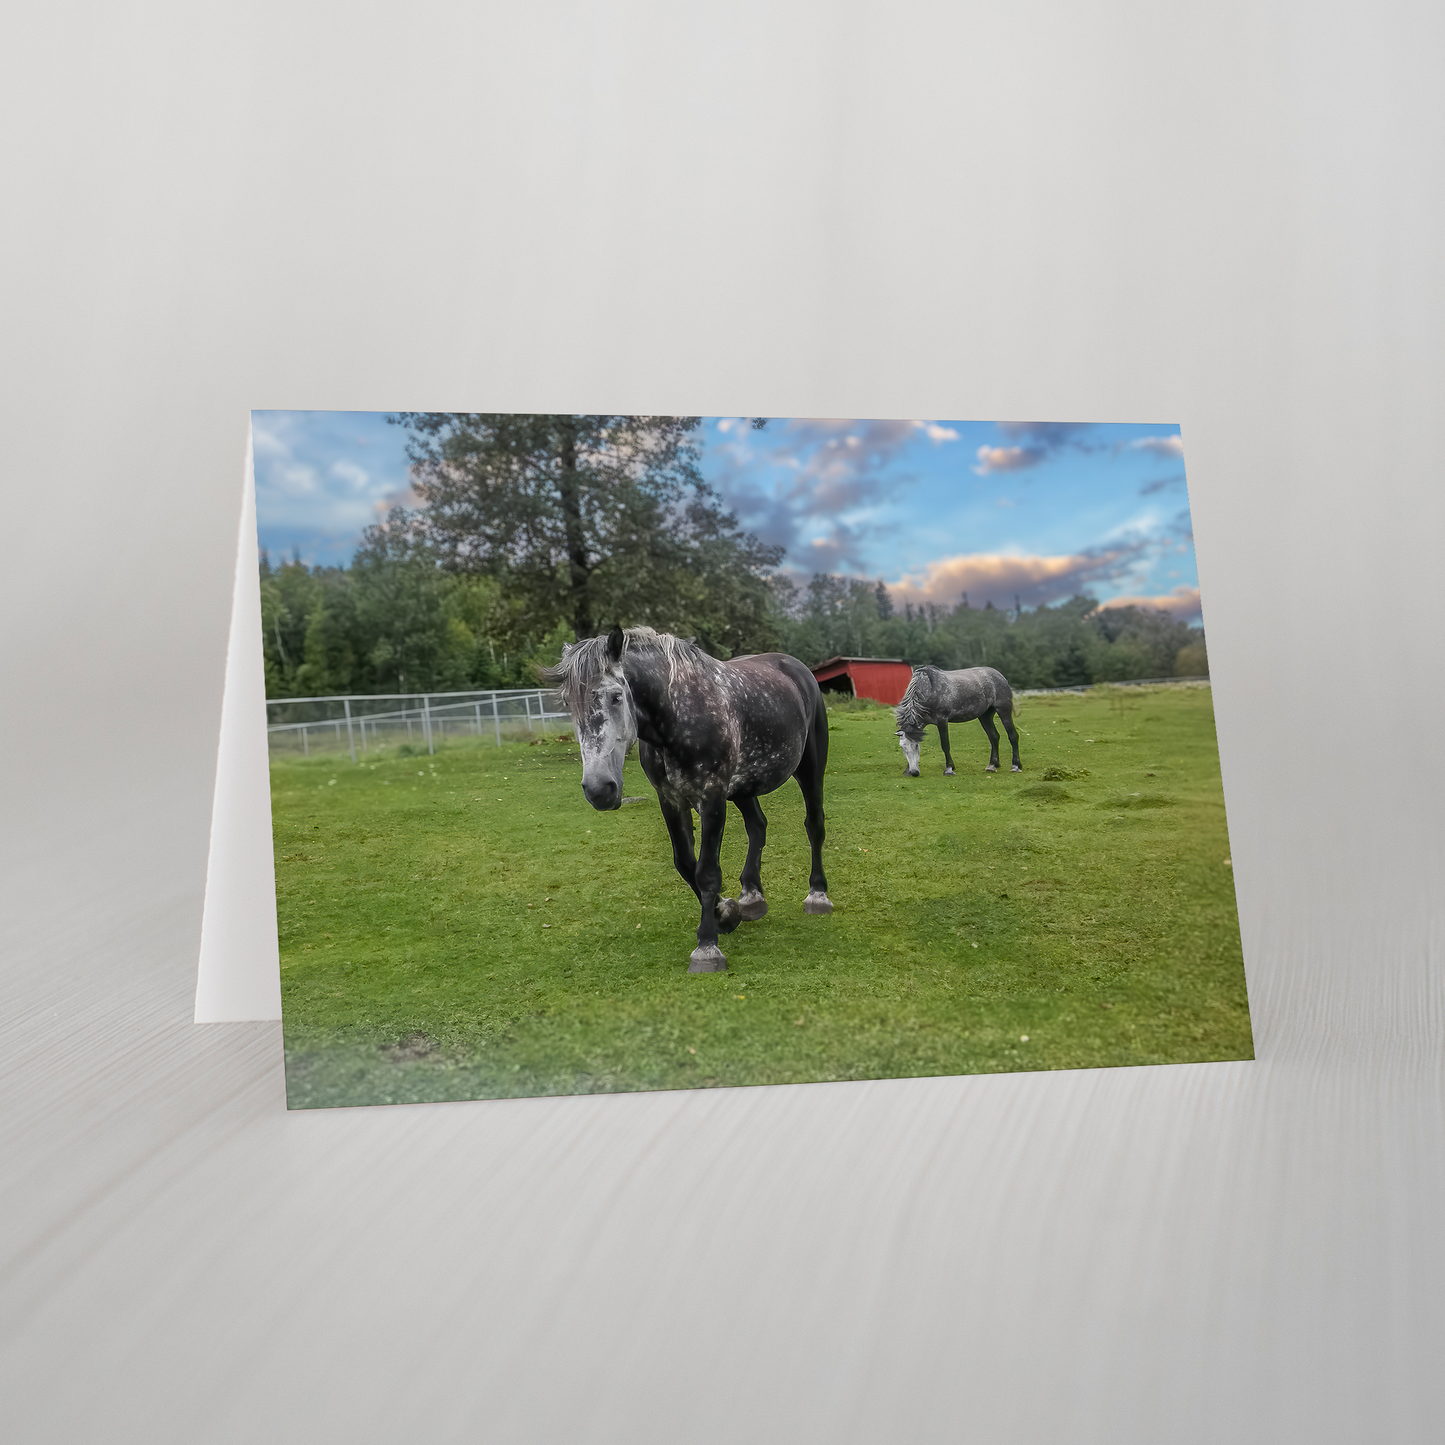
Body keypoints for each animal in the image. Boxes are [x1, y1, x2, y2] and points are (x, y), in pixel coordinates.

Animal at [544, 626, 833, 973]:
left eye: (616, 696)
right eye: (569, 704)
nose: (599, 789)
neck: (677, 714)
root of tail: (796, 668)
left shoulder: (712, 798)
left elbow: (706, 871)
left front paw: (707, 946)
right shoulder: (670, 800)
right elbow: (684, 863)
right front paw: (726, 913)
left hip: (810, 770)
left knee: (814, 825)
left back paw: (817, 895)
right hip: (743, 788)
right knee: (757, 827)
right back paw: (752, 897)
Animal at [895, 664, 1023, 777]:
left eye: (916, 746)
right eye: (903, 748)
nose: (914, 772)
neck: (927, 690)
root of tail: (1000, 676)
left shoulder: (942, 721)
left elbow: (945, 745)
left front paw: (949, 768)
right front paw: (907, 770)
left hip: (1004, 710)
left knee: (1013, 735)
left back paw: (1015, 766)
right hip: (985, 716)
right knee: (994, 737)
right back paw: (992, 765)